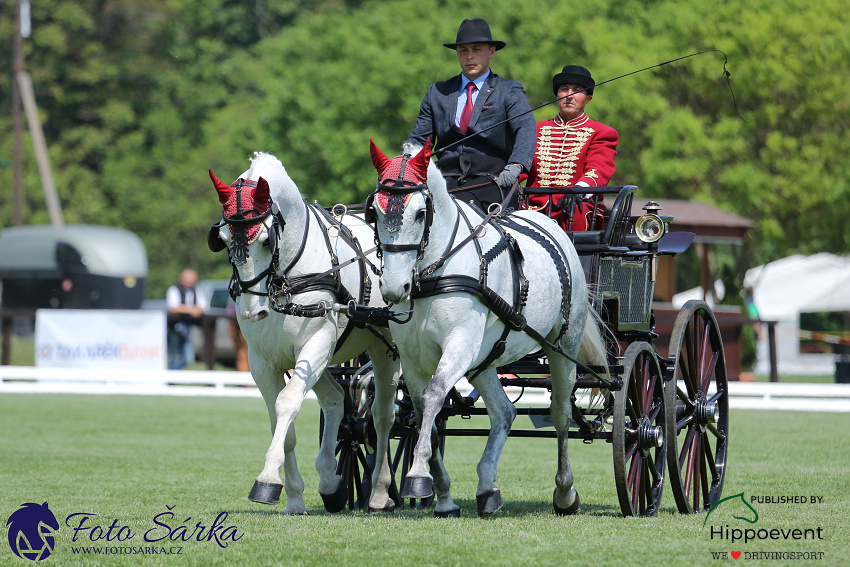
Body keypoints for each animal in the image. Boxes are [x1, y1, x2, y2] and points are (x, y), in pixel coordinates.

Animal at [208, 152, 400, 516]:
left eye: (266, 239)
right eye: (222, 240)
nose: (252, 311)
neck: (287, 276)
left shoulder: (317, 342)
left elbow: (287, 404)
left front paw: (267, 479)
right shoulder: (263, 361)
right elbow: (281, 422)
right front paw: (295, 496)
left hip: (385, 351)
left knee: (384, 416)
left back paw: (383, 492)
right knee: (336, 399)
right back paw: (330, 479)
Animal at [368, 140, 608, 516]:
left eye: (420, 213)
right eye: (374, 212)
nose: (394, 288)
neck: (436, 271)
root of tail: (550, 223)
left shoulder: (459, 344)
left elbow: (435, 396)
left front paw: (419, 474)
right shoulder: (413, 358)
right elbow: (422, 411)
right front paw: (443, 493)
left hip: (562, 346)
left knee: (560, 413)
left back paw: (565, 491)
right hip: (485, 359)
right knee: (504, 412)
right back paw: (487, 488)